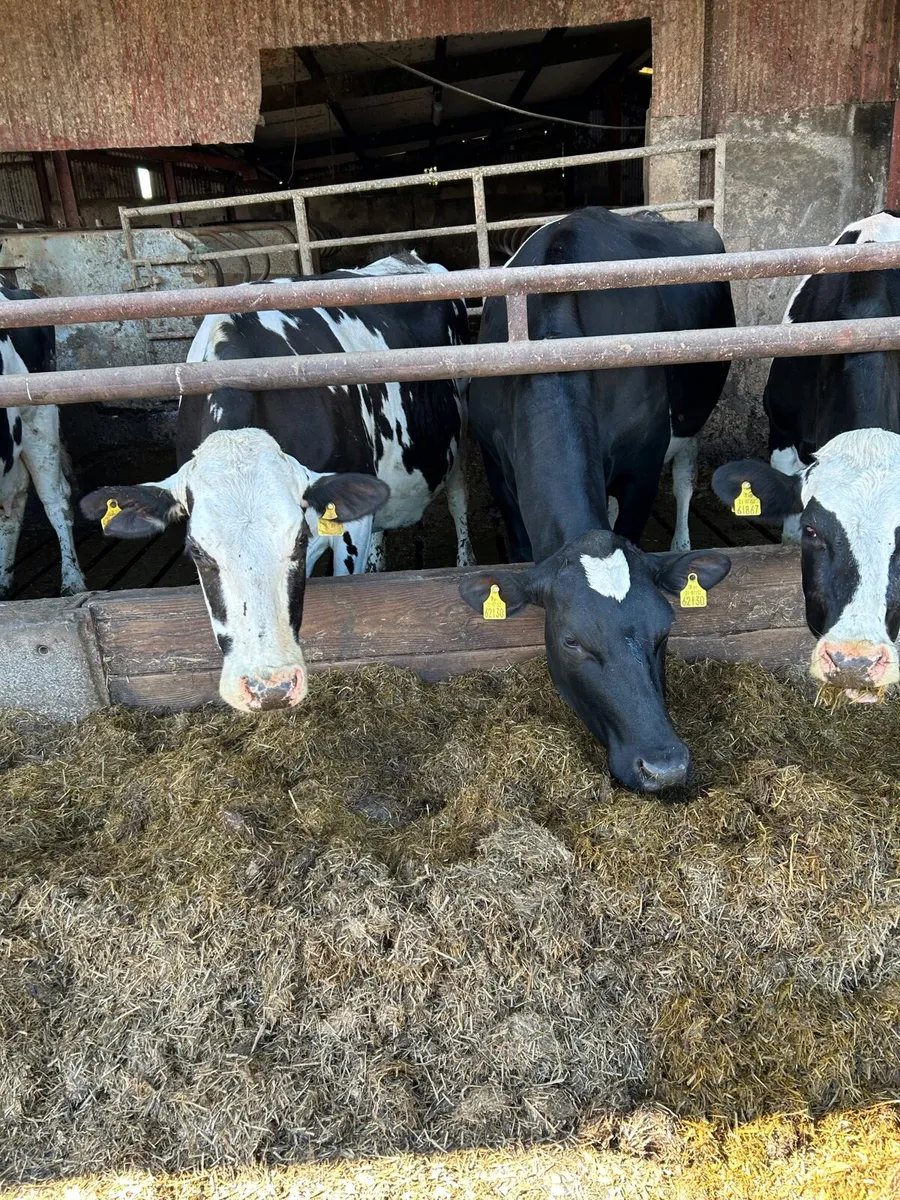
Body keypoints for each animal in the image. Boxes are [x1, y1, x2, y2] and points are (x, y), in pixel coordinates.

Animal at [80, 252, 473, 713]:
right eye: (196, 551)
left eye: (299, 540)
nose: (270, 688)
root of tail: (406, 257)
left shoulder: (347, 527)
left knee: (459, 503)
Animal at [460, 207, 734, 793]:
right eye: (571, 642)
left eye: (665, 630)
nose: (664, 765)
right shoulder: (497, 468)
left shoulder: (642, 464)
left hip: (692, 416)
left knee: (684, 477)